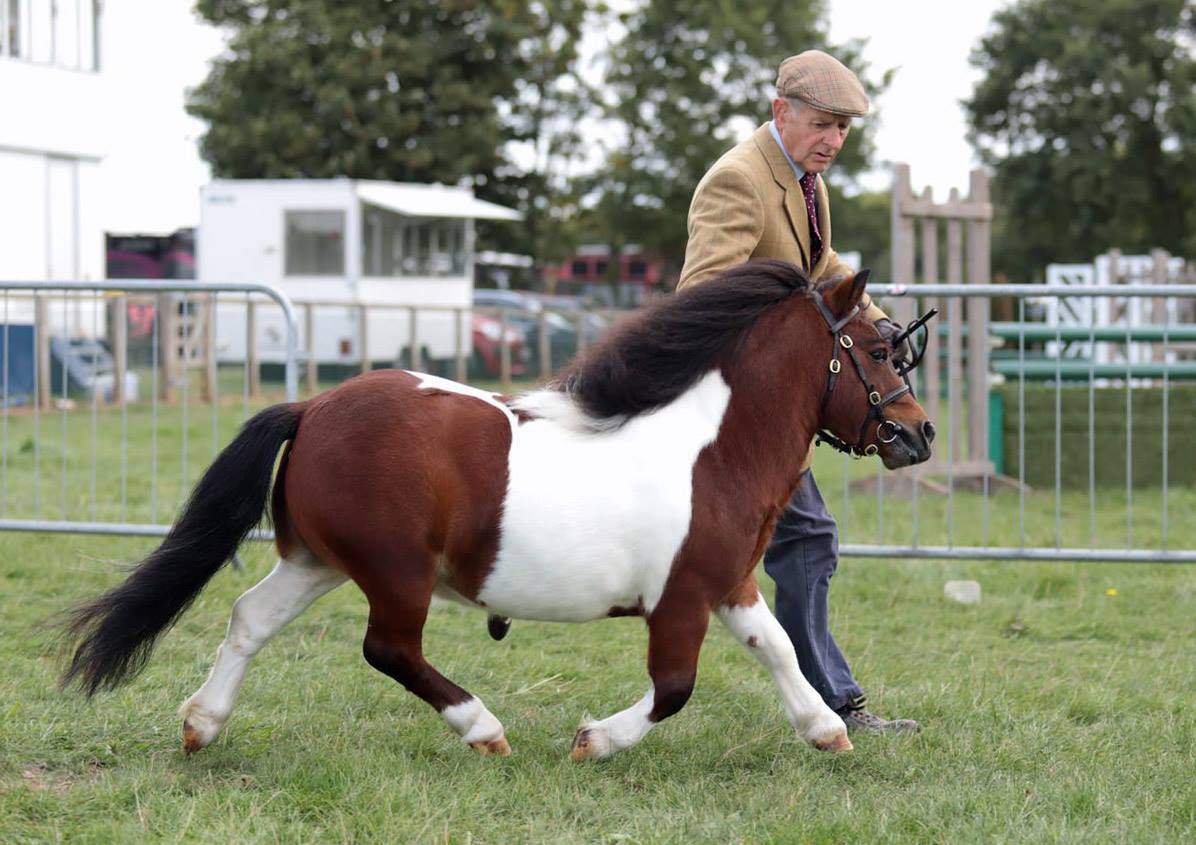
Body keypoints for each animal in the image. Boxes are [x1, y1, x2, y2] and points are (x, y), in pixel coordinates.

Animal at [59, 260, 933, 761]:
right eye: (879, 350)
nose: (919, 434)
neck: (710, 448)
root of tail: (312, 406)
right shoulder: (681, 599)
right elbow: (676, 686)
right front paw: (593, 740)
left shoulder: (728, 582)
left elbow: (777, 646)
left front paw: (827, 730)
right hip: (396, 571)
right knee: (388, 649)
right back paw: (484, 728)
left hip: (318, 561)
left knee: (250, 617)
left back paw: (202, 724)